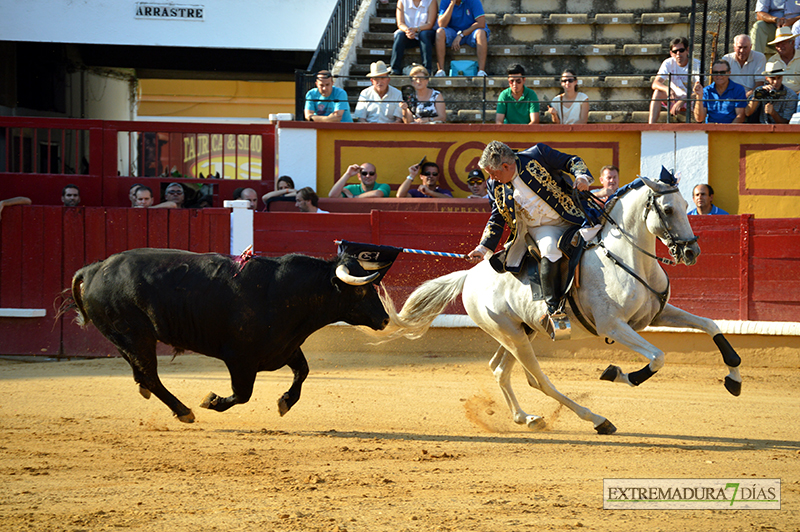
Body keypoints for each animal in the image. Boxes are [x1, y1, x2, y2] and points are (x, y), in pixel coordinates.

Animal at [64, 248, 392, 424]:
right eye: (361, 290)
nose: (386, 318)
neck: (286, 292)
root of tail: (95, 269)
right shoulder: (240, 359)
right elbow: (242, 394)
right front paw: (211, 401)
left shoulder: (285, 348)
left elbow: (303, 371)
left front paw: (285, 402)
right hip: (135, 335)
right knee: (150, 374)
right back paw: (184, 411)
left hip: (126, 338)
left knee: (141, 373)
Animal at [378, 175, 740, 432]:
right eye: (667, 210)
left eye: (687, 203)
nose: (691, 252)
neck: (627, 257)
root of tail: (470, 275)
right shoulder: (613, 326)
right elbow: (658, 356)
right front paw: (617, 374)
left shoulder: (657, 315)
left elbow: (710, 325)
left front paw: (734, 380)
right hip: (512, 334)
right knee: (538, 380)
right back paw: (597, 420)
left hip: (521, 331)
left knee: (500, 370)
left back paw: (527, 418)